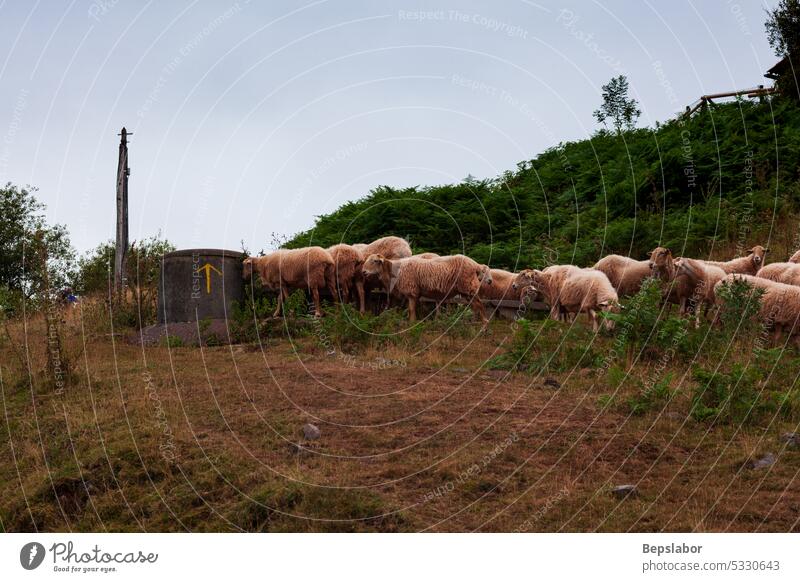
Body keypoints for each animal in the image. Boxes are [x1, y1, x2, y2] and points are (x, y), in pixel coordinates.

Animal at [360, 253, 488, 322]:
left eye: (375, 261)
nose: (363, 272)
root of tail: (475, 265)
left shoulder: (411, 291)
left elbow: (411, 310)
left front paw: (412, 325)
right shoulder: (412, 294)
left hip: (469, 286)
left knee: (479, 305)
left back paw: (484, 326)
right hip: (467, 290)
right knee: (475, 306)